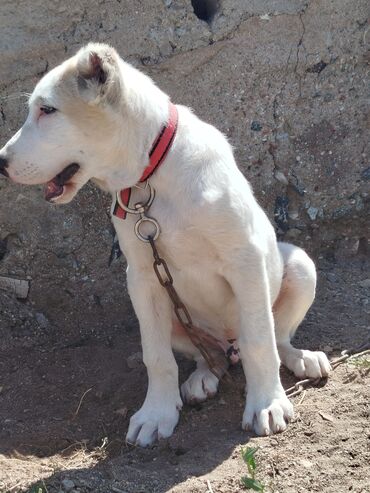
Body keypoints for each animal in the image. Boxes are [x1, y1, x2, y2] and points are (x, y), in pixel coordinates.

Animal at [0, 44, 330, 446]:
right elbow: (156, 358)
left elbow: (260, 341)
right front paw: (157, 413)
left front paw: (266, 402)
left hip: (299, 266)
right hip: (173, 314)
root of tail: (228, 343)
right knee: (210, 355)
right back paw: (203, 376)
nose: (1, 163)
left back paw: (301, 358)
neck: (152, 176)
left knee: (276, 336)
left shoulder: (246, 262)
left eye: (47, 110)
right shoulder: (143, 277)